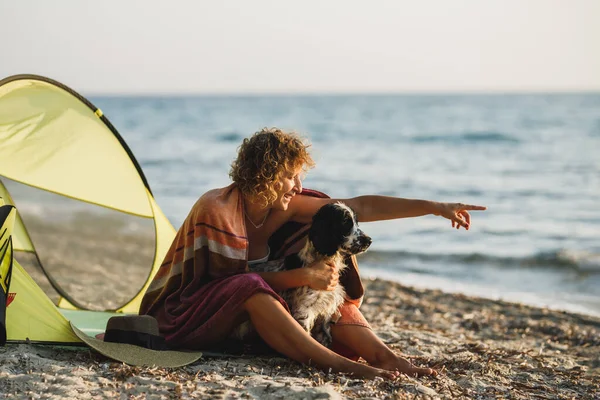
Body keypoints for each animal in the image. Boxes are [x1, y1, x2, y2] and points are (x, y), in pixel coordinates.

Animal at [233, 203, 370, 346]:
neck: (321, 260)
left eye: (356, 221)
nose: (369, 240)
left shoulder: (324, 314)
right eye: (345, 221)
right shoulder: (304, 310)